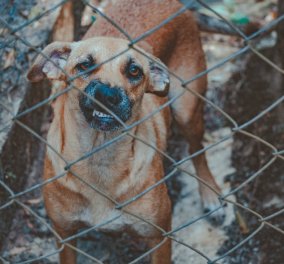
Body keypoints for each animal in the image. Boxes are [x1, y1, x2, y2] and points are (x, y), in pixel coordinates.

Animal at [26, 0, 224, 264]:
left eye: (134, 71)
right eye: (85, 65)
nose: (107, 95)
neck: (100, 157)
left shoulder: (159, 236)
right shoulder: (64, 236)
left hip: (187, 108)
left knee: (198, 150)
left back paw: (210, 194)